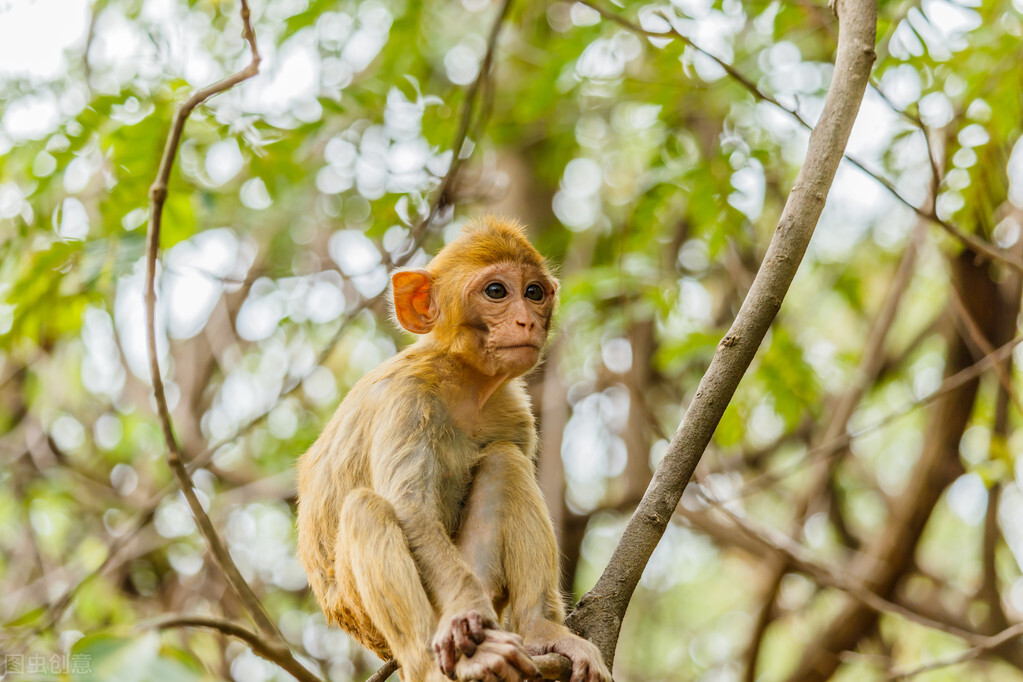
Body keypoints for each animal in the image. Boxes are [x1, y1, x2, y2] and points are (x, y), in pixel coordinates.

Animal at [298, 218, 613, 682]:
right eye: (497, 291)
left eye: (534, 293)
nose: (526, 321)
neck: (464, 380)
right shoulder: (407, 401)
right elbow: (412, 511)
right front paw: (468, 611)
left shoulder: (514, 410)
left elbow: (506, 454)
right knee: (365, 510)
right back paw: (432, 664)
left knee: (505, 460)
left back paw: (539, 628)